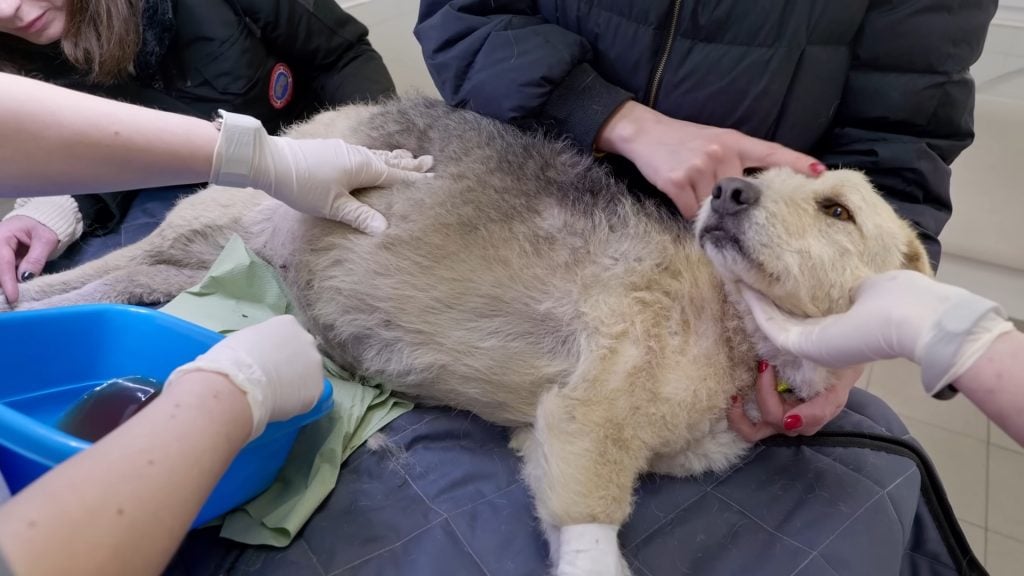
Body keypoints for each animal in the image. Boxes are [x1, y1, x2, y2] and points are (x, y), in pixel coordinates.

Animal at [4, 96, 933, 569]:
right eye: (754, 175)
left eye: (838, 210)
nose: (728, 193)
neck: (735, 332)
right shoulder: (589, 419)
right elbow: (595, 523)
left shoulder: (549, 436)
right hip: (225, 212)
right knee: (101, 270)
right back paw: (28, 293)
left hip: (208, 260)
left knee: (120, 281)